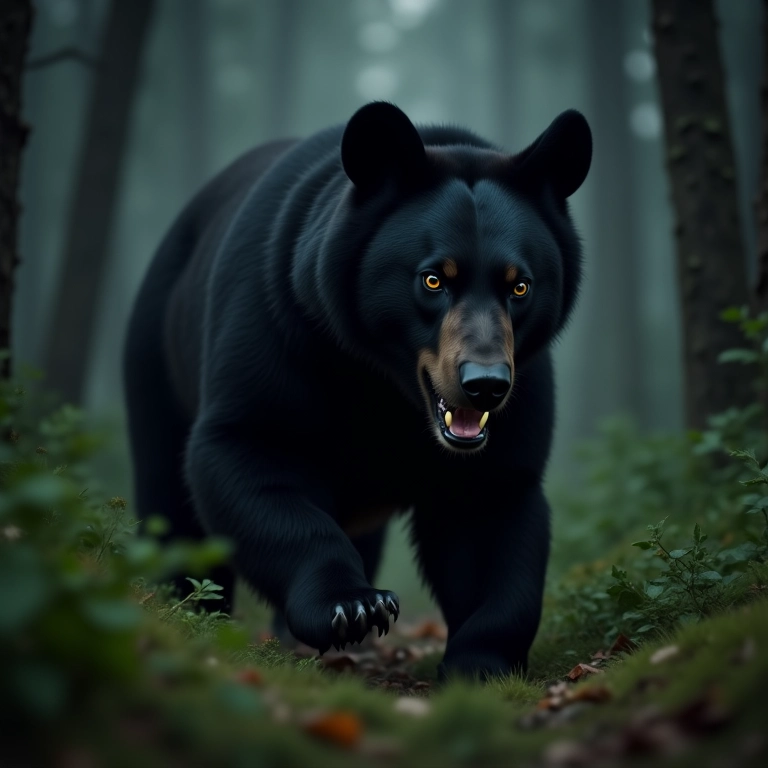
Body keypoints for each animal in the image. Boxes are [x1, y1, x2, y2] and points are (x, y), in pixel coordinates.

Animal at [123, 101, 592, 680]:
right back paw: (184, 610)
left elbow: (491, 503)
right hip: (155, 353)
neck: (385, 385)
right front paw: (352, 606)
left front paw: (481, 662)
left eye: (519, 285)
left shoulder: (522, 387)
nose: (484, 386)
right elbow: (249, 451)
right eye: (433, 280)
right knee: (168, 496)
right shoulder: (278, 327)